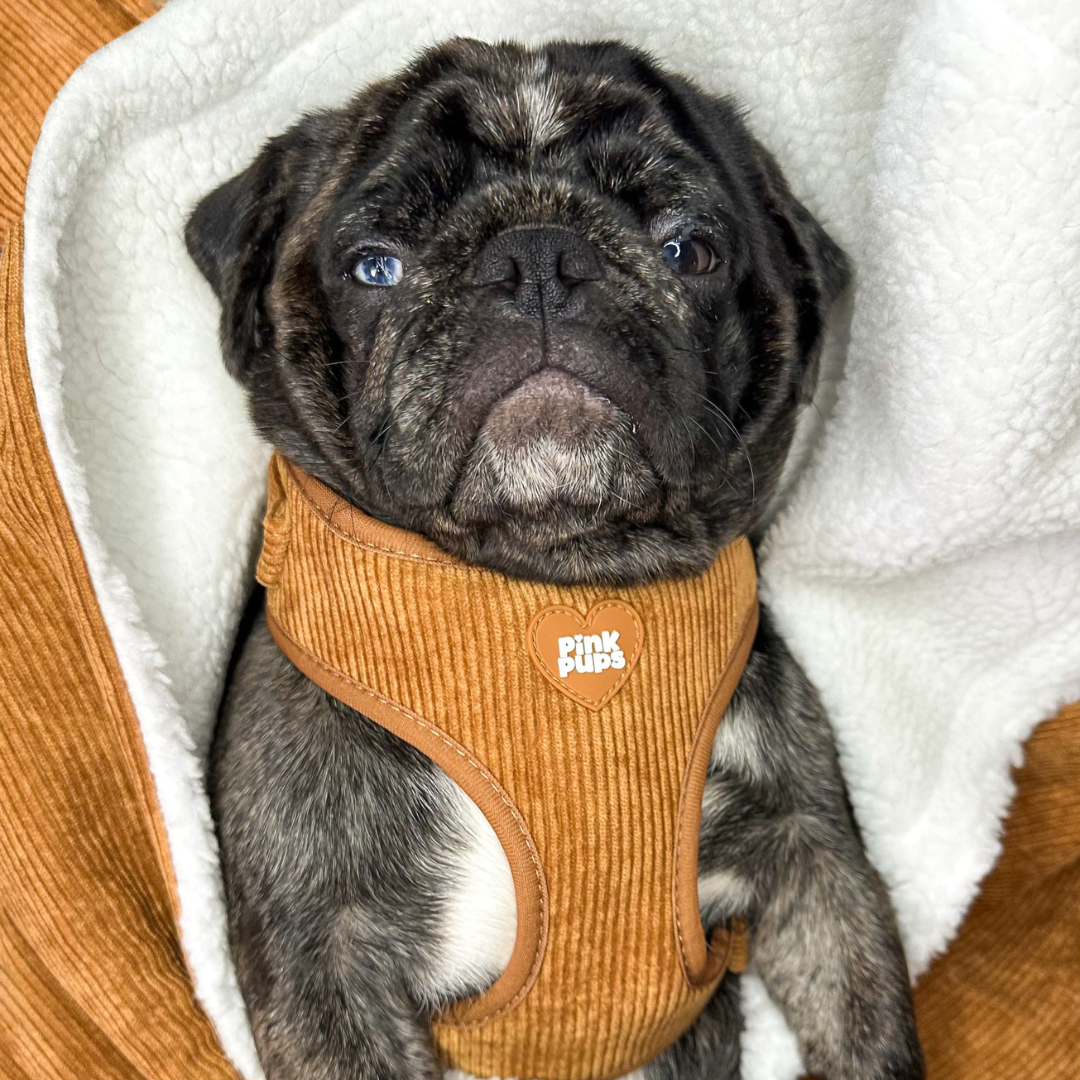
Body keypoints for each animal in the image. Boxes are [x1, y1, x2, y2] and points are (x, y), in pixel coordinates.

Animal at [192, 33, 920, 1080]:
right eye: (375, 265)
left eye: (689, 250)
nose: (538, 257)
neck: (555, 582)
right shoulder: (318, 954)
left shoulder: (815, 862)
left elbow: (867, 1029)